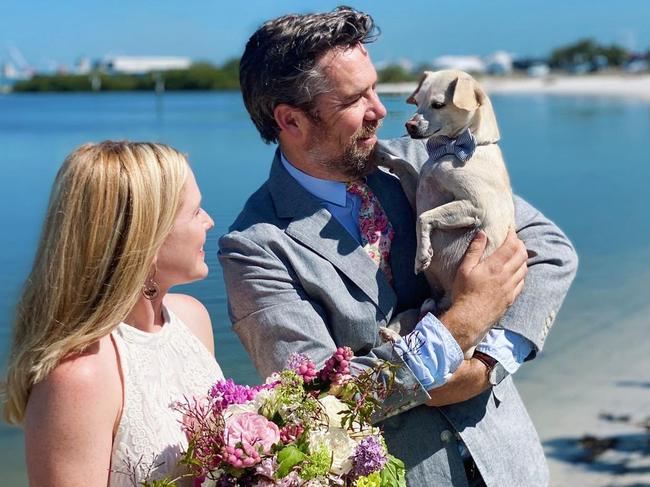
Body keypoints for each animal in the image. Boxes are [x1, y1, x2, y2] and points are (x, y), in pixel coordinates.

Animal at [378, 70, 512, 354]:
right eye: (417, 103)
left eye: (438, 105)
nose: (409, 125)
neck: (449, 150)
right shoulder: (418, 192)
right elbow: (405, 165)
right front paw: (381, 156)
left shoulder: (474, 206)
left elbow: (424, 218)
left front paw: (422, 255)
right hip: (409, 313)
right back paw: (389, 335)